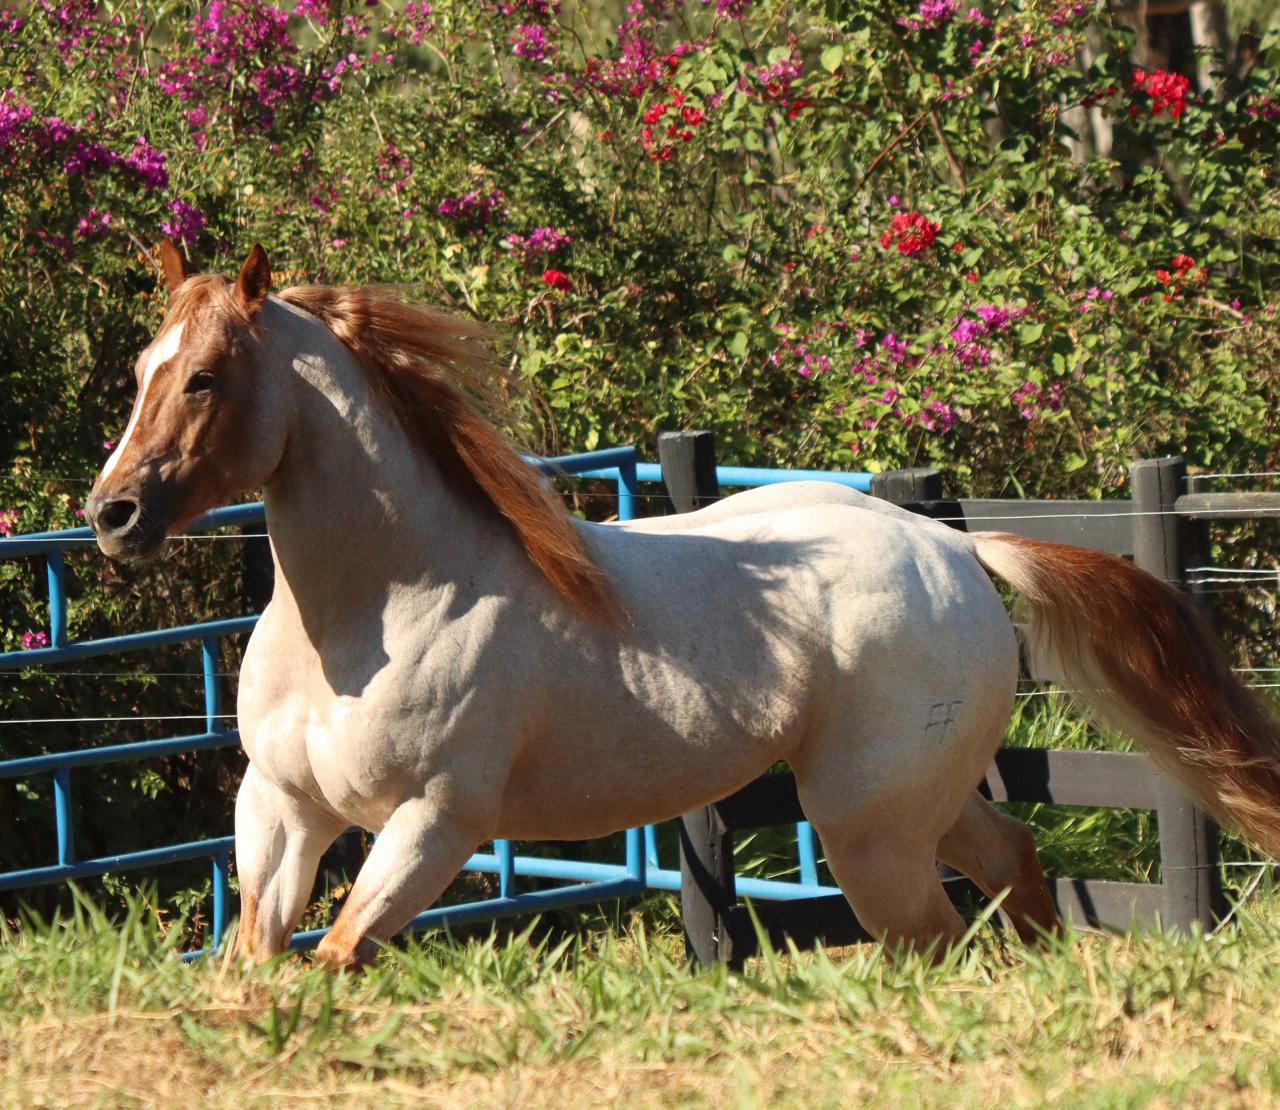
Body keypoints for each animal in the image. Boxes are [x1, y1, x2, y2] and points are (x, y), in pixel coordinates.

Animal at [85, 241, 1280, 967]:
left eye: (205, 377)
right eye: (142, 366)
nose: (112, 513)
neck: (378, 607)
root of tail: (954, 547)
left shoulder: (433, 823)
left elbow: (337, 957)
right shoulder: (281, 810)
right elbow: (257, 963)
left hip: (872, 830)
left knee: (938, 934)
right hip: (918, 806)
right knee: (1013, 869)